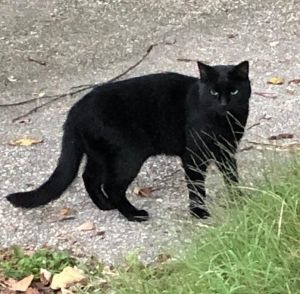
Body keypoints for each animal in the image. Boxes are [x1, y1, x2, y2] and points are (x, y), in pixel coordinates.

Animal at [6, 62, 251, 223]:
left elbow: (232, 177)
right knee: (111, 186)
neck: (224, 122)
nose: (224, 103)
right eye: (213, 92)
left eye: (234, 90)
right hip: (128, 156)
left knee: (89, 177)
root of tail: (75, 110)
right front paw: (199, 213)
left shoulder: (227, 151)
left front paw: (240, 200)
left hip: (101, 155)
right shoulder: (194, 155)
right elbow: (197, 186)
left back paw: (105, 206)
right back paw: (133, 214)